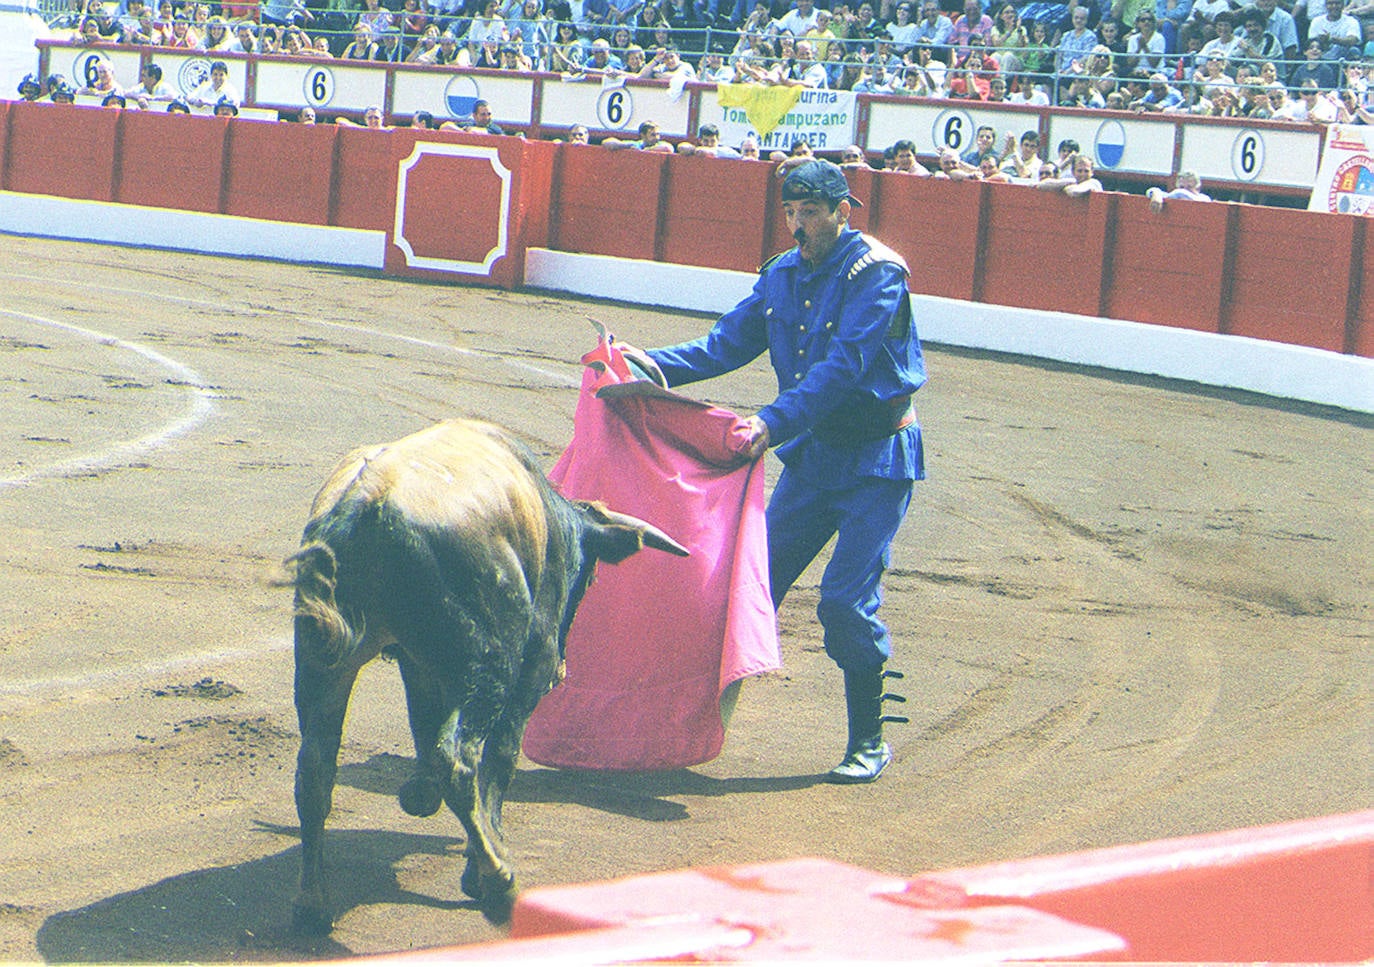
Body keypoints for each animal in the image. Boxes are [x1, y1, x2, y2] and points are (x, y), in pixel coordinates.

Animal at [285, 420, 687, 934]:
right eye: (589, 576)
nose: (563, 668)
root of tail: (365, 500)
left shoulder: (419, 664)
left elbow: (424, 726)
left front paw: (419, 795)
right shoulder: (528, 672)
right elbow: (500, 760)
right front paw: (478, 866)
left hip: (321, 666)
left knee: (316, 771)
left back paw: (312, 905)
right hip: (492, 667)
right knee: (460, 761)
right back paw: (499, 882)